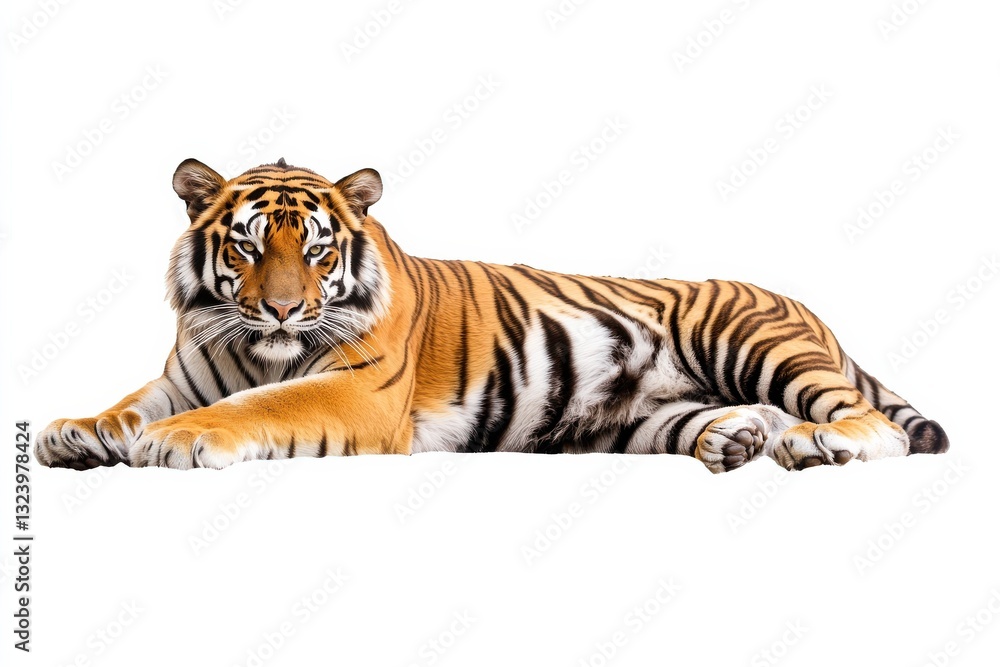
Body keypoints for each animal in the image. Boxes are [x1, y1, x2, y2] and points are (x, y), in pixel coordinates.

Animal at [35, 158, 949, 473]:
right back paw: (738, 440)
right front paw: (75, 431)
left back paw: (818, 446)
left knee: (872, 421)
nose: (285, 308)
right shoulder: (187, 370)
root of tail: (806, 305)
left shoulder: (356, 391)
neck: (254, 345)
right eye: (251, 247)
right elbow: (129, 404)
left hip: (752, 340)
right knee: (721, 422)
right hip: (637, 419)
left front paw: (178, 440)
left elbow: (258, 405)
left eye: (320, 251)